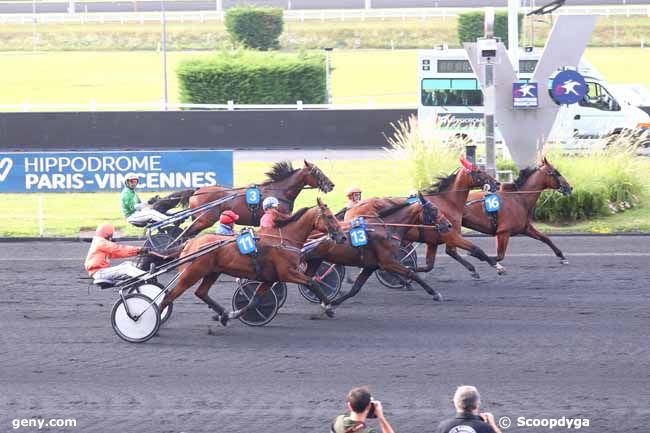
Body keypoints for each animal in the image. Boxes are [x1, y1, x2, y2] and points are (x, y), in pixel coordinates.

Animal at [153, 160, 334, 236]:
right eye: (317, 172)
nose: (331, 185)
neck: (279, 192)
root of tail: (197, 190)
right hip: (204, 220)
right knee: (184, 234)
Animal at [158, 197, 344, 324]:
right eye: (329, 217)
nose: (342, 237)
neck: (284, 238)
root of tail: (190, 243)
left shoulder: (270, 278)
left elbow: (254, 301)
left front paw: (234, 314)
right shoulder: (288, 273)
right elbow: (313, 283)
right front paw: (328, 307)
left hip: (212, 272)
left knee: (201, 293)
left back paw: (224, 314)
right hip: (191, 273)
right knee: (169, 296)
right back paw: (155, 321)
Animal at [302, 194, 448, 306]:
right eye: (434, 209)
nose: (448, 225)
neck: (387, 227)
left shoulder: (371, 265)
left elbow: (355, 288)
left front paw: (333, 303)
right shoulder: (388, 261)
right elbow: (411, 273)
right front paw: (435, 293)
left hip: (316, 259)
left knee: (309, 279)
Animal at [344, 157, 502, 278]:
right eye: (479, 171)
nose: (497, 183)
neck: (447, 201)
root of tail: (352, 209)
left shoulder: (433, 240)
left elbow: (431, 264)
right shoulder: (451, 235)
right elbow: (475, 249)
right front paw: (498, 266)